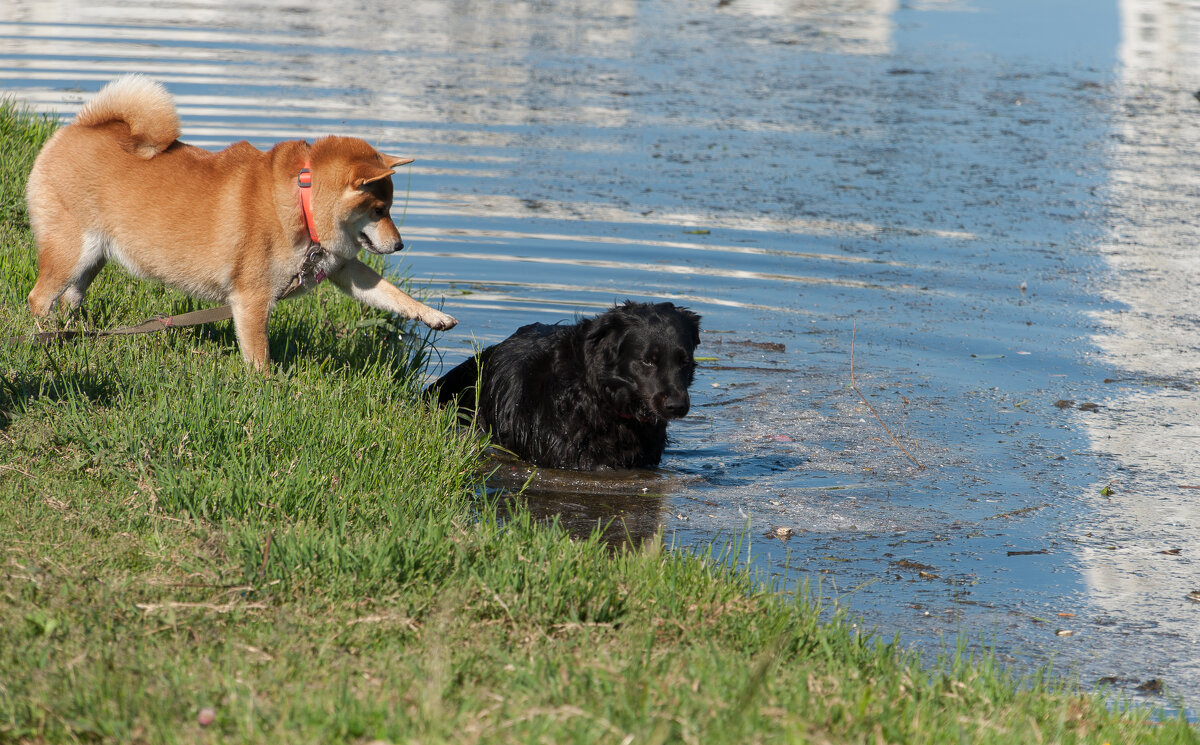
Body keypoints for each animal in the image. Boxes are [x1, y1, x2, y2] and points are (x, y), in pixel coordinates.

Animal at [29, 75, 458, 369]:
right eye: (379, 210)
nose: (400, 244)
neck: (302, 203)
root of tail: (80, 127)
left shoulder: (340, 266)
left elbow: (388, 293)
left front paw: (431, 315)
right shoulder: (252, 298)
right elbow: (259, 354)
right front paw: (269, 389)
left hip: (92, 259)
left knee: (70, 298)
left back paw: (72, 332)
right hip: (71, 250)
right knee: (39, 297)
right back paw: (43, 335)